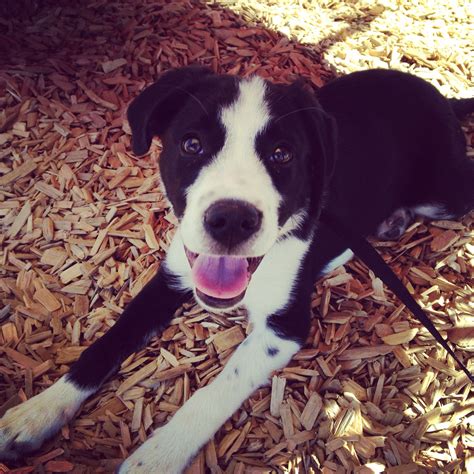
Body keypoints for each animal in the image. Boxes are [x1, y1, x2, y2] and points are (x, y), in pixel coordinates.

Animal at [0, 66, 474, 470]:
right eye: (192, 145)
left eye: (282, 155)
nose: (230, 220)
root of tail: (442, 97)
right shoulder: (171, 279)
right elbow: (106, 344)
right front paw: (35, 413)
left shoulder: (283, 328)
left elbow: (215, 390)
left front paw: (156, 457)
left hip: (447, 194)